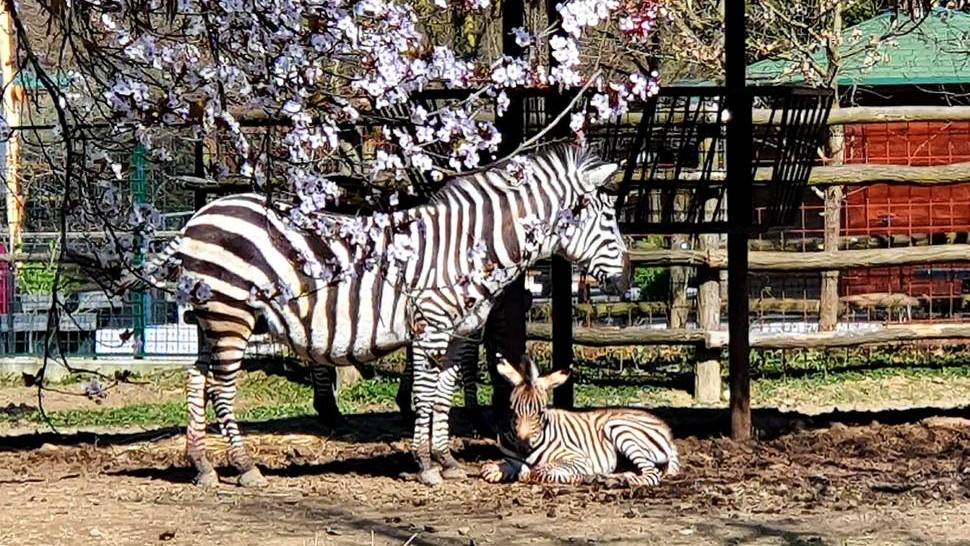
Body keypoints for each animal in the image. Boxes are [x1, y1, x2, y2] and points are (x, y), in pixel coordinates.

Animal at [478, 354, 676, 486]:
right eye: (513, 411)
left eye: (541, 412)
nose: (523, 447)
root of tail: (667, 430)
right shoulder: (512, 461)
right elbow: (487, 470)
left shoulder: (578, 459)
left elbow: (539, 472)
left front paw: (579, 477)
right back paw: (611, 478)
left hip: (619, 429)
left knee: (651, 473)